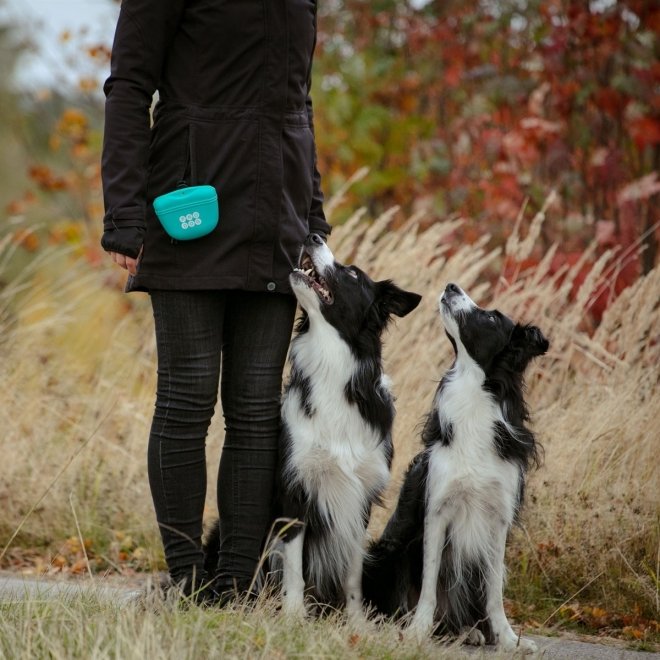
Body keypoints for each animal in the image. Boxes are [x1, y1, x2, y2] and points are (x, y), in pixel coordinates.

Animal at [274, 233, 420, 620]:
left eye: (353, 275)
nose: (312, 235)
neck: (331, 367)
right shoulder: (295, 488)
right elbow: (293, 566)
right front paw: (293, 615)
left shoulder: (361, 495)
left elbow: (352, 571)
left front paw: (356, 621)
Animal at [360, 282, 548, 652]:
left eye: (491, 317)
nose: (451, 285)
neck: (473, 389)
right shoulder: (437, 510)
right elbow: (429, 583)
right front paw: (417, 631)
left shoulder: (498, 518)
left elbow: (494, 592)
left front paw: (507, 638)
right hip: (389, 553)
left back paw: (469, 630)